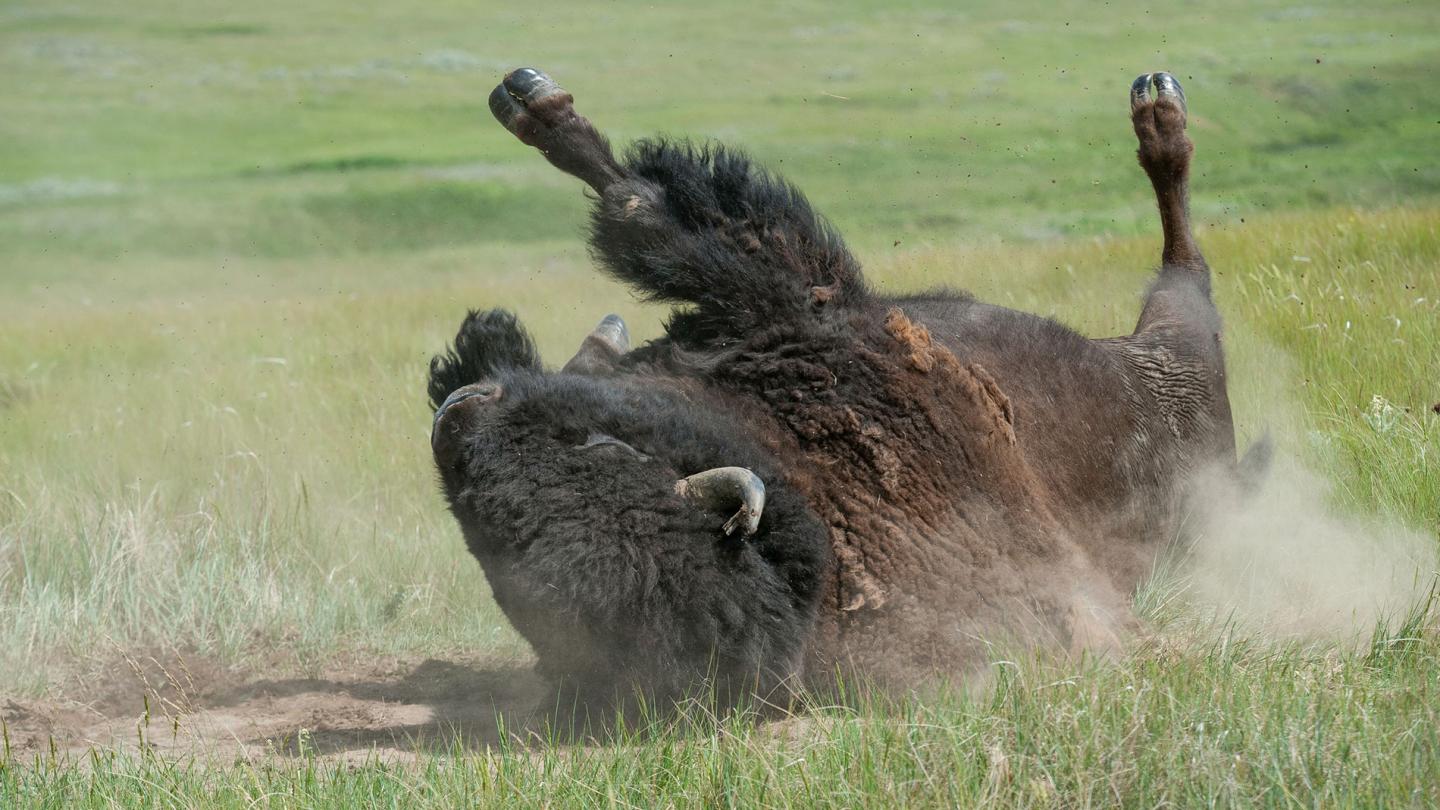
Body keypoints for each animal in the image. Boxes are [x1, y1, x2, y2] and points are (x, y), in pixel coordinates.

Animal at [428, 68, 1260, 706]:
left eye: (594, 445)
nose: (458, 415)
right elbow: (642, 211)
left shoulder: (784, 291)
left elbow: (641, 208)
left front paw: (532, 107)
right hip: (1180, 343)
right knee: (1187, 265)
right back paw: (1157, 109)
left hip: (1176, 343)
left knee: (1183, 254)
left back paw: (1157, 109)